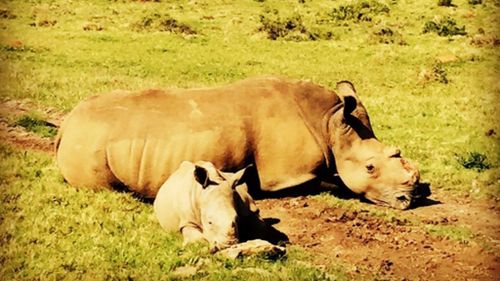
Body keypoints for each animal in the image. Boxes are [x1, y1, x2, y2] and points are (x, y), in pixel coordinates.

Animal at [57, 75, 426, 209]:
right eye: (370, 167)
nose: (409, 200)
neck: (330, 123)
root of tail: (66, 125)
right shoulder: (287, 174)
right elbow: (330, 181)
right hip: (87, 143)